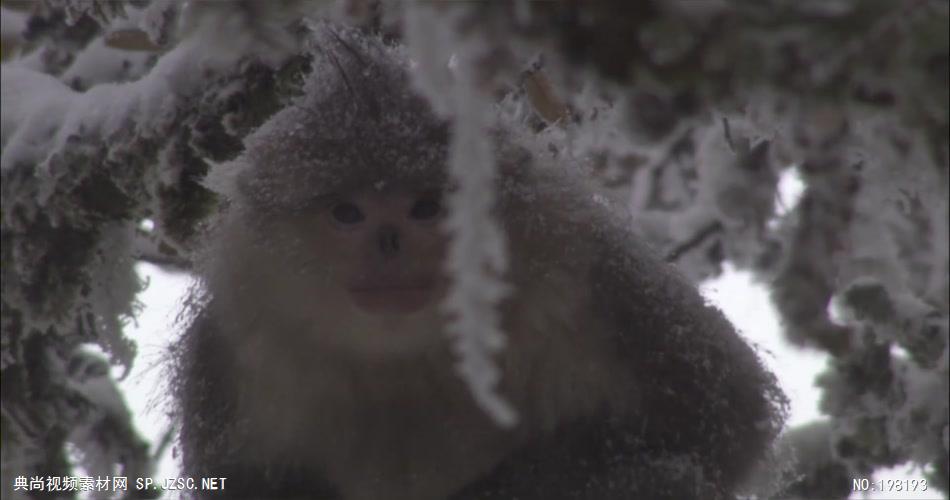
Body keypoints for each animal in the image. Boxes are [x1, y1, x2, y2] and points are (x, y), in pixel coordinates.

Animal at [173, 26, 788, 500]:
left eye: (426, 208)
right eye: (348, 213)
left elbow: (724, 418)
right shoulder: (225, 351)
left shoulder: (597, 277)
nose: (389, 245)